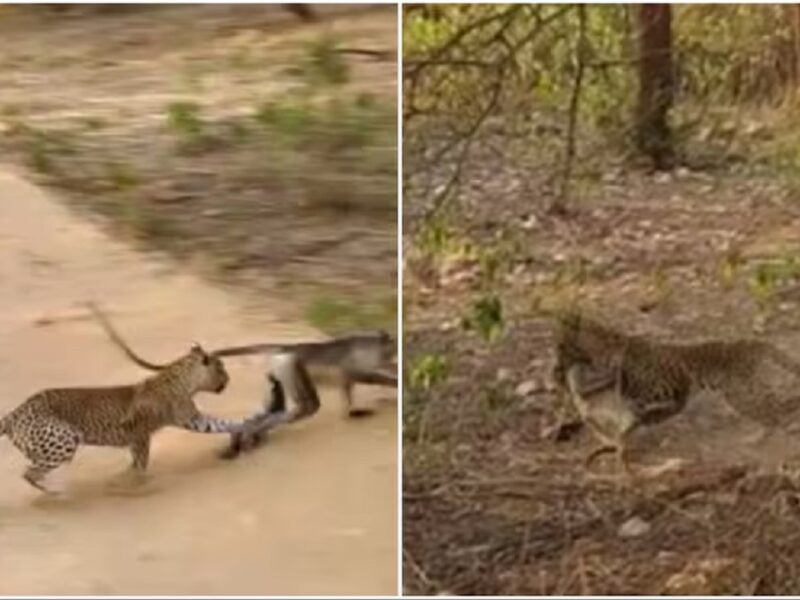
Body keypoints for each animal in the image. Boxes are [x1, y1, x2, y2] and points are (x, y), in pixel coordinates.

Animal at [0, 343, 268, 492]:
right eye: (221, 368)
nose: (228, 380)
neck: (185, 380)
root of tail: (15, 413)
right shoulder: (146, 434)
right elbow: (141, 464)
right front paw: (140, 483)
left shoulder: (191, 419)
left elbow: (222, 423)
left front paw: (247, 425)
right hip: (65, 439)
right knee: (29, 473)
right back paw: (54, 493)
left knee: (31, 468)